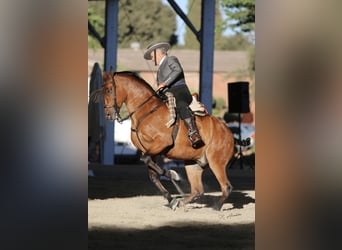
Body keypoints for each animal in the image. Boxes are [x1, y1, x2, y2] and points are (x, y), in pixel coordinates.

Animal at [91, 71, 235, 211]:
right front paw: (171, 199)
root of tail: (229, 132)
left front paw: (173, 175)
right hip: (193, 164)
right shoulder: (149, 150)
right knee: (197, 190)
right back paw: (182, 202)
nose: (108, 115)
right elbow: (152, 174)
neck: (146, 112)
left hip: (216, 162)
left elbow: (149, 163)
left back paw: (216, 207)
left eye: (109, 90)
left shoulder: (162, 143)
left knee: (226, 186)